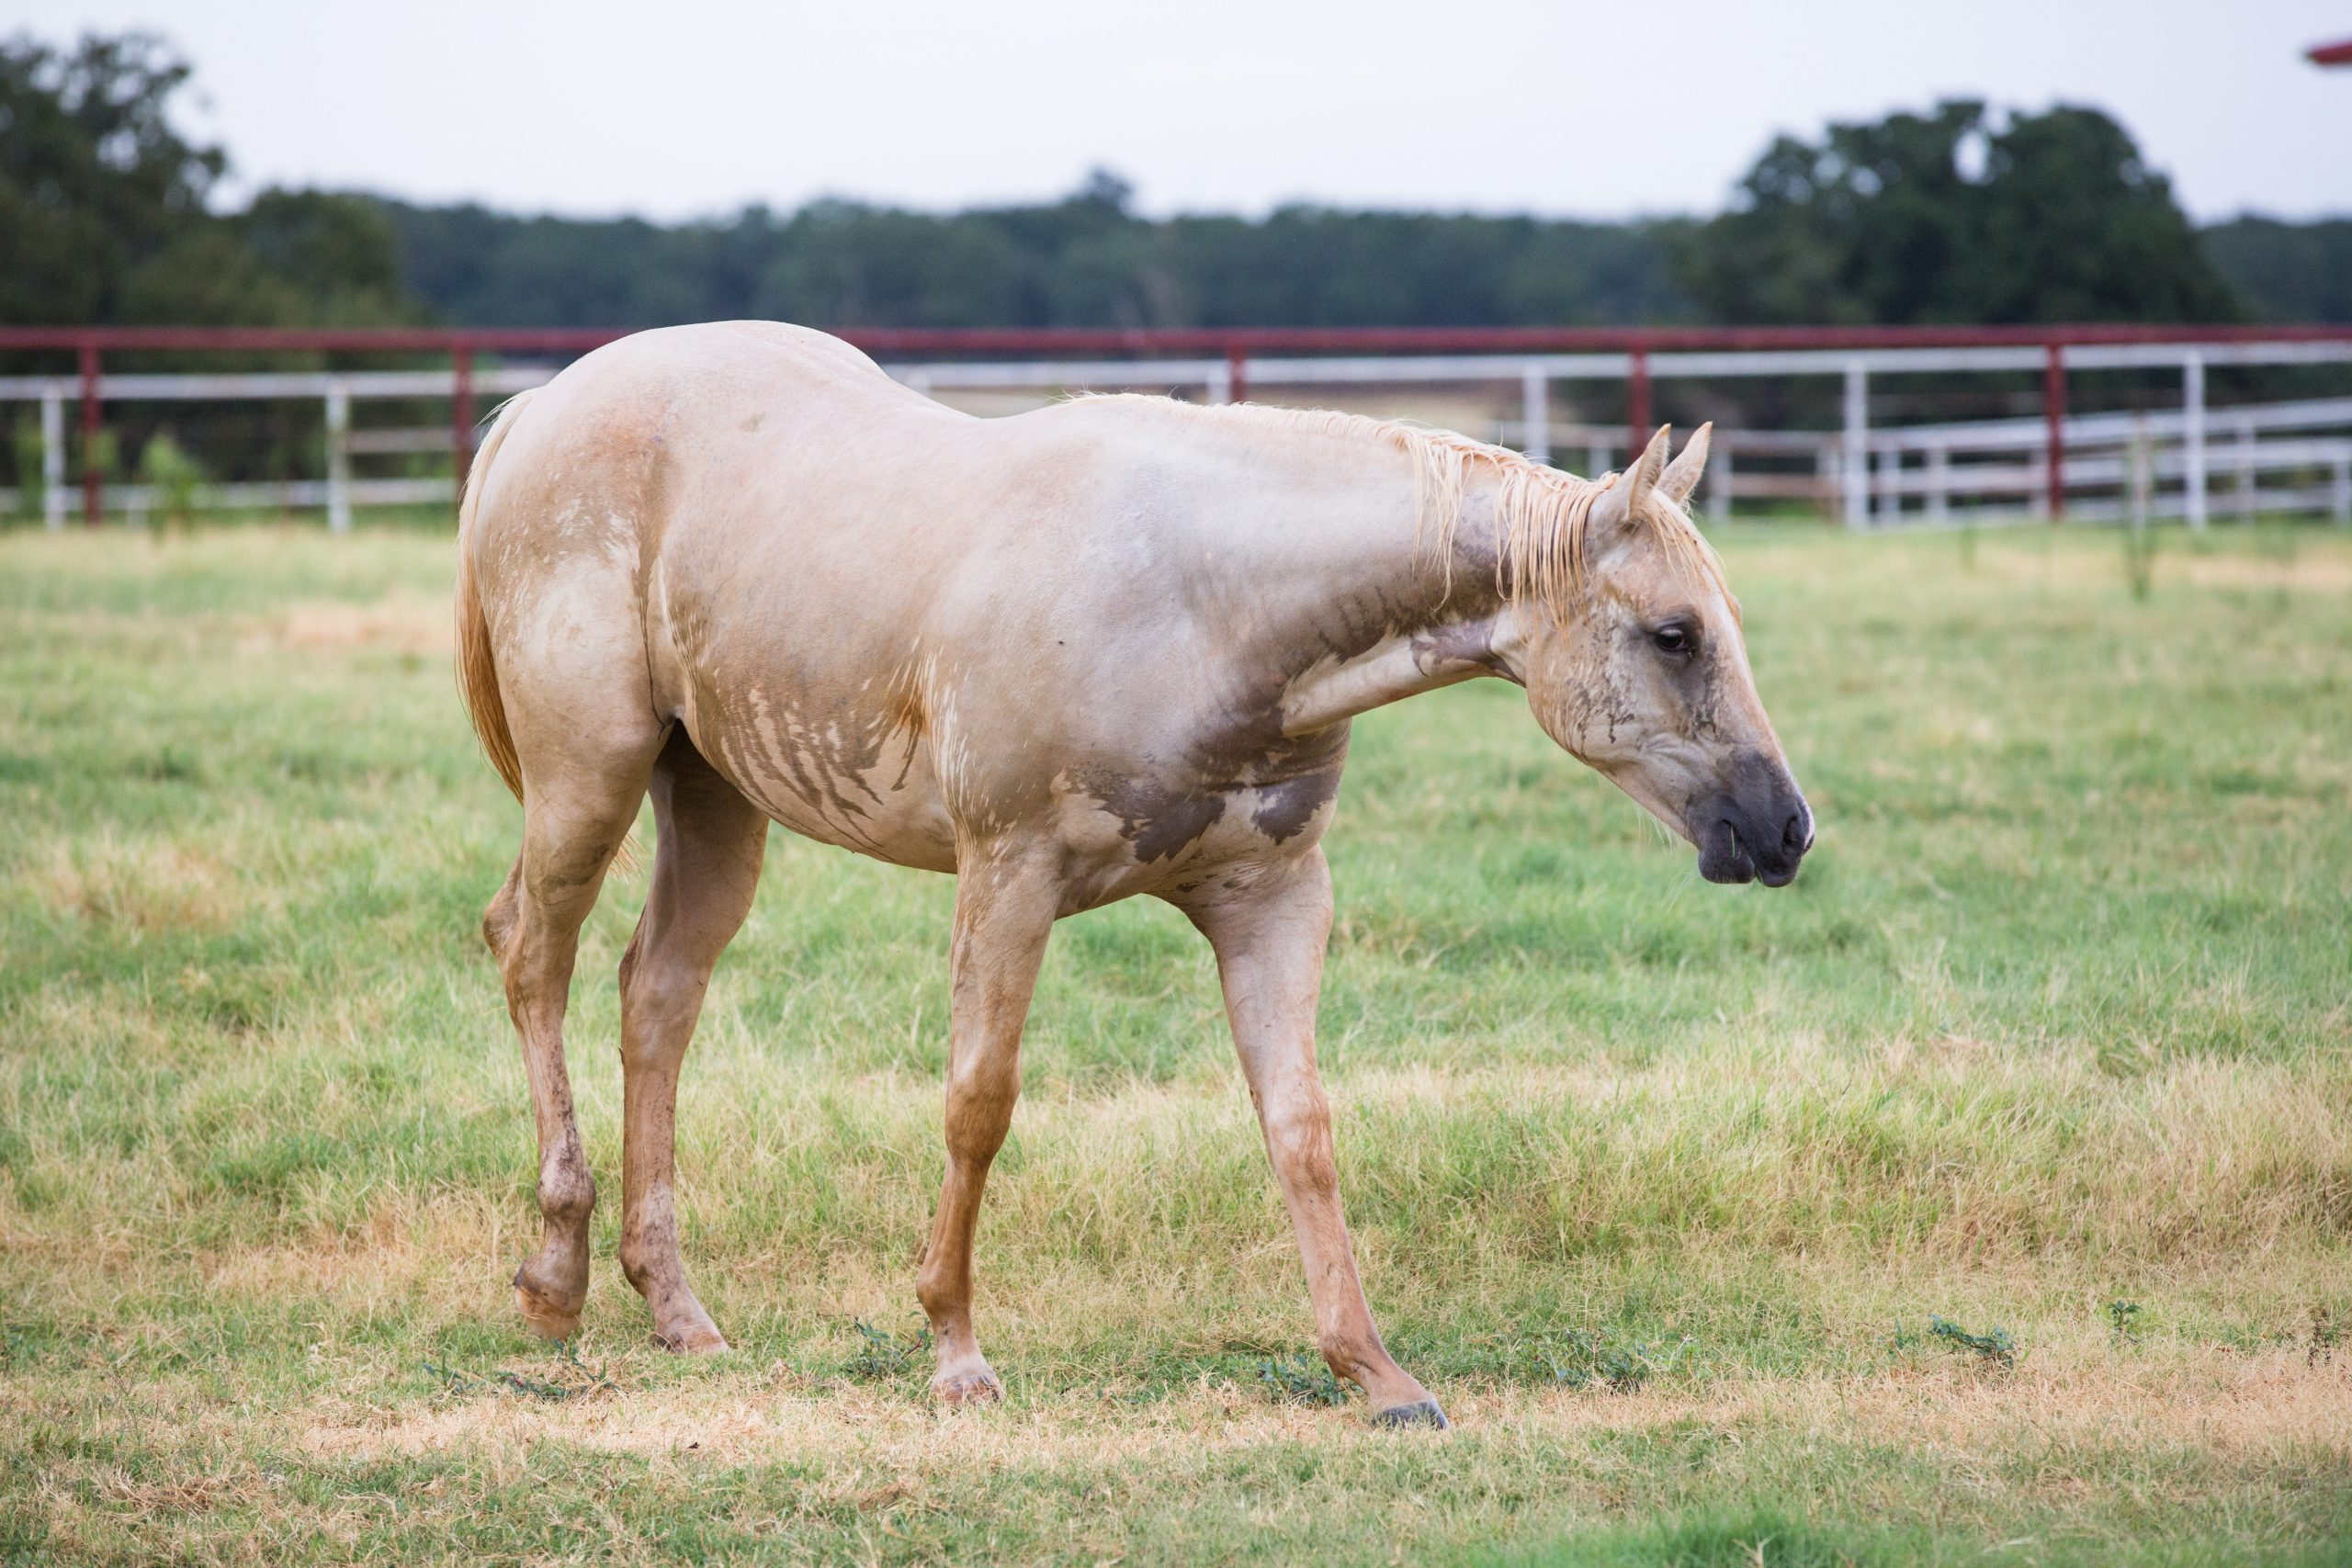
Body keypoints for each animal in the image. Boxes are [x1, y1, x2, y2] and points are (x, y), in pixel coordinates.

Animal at [453, 321, 1811, 1428]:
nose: (1785, 829)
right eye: (1674, 634)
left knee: (655, 997)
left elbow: (1300, 1125)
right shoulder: (1008, 876)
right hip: (591, 777)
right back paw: (555, 1279)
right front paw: (955, 1352)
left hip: (715, 802)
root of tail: (540, 407)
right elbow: (979, 1103)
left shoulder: (1273, 898)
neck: (1206, 604)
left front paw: (1375, 1372)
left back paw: (676, 1310)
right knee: (533, 952)